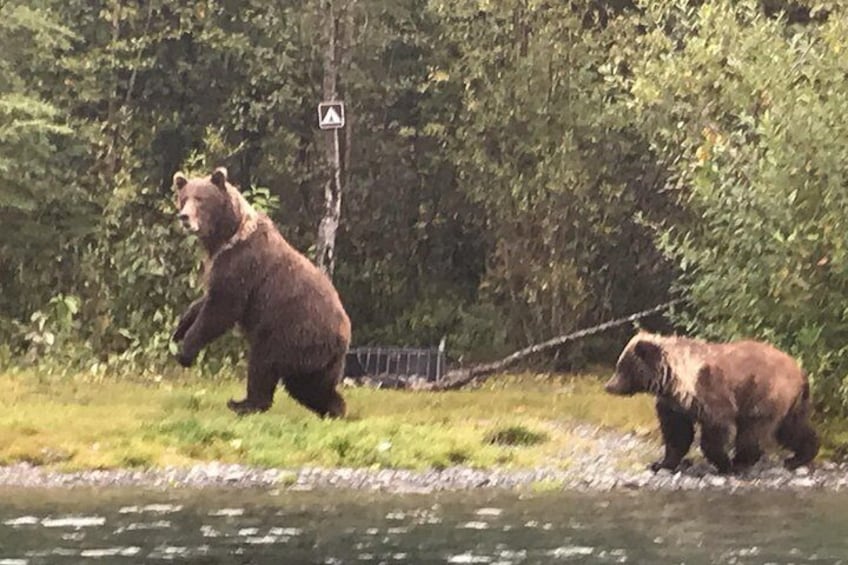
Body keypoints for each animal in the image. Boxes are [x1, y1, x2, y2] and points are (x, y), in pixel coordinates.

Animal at [171, 166, 351, 418]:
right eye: (183, 198)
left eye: (201, 199)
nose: (184, 217)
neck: (225, 238)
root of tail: (344, 336)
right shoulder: (219, 267)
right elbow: (206, 300)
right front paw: (179, 328)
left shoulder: (242, 265)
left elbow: (221, 310)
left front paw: (185, 352)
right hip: (313, 358)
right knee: (308, 386)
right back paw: (334, 410)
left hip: (289, 332)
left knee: (262, 363)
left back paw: (243, 403)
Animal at [604, 331, 819, 474]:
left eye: (622, 367)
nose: (609, 385)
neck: (673, 381)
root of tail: (800, 371)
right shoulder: (674, 405)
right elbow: (677, 434)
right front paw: (661, 463)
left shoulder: (709, 391)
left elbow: (715, 427)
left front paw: (723, 463)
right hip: (792, 401)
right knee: (791, 428)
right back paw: (799, 457)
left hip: (765, 392)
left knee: (754, 429)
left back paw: (741, 462)